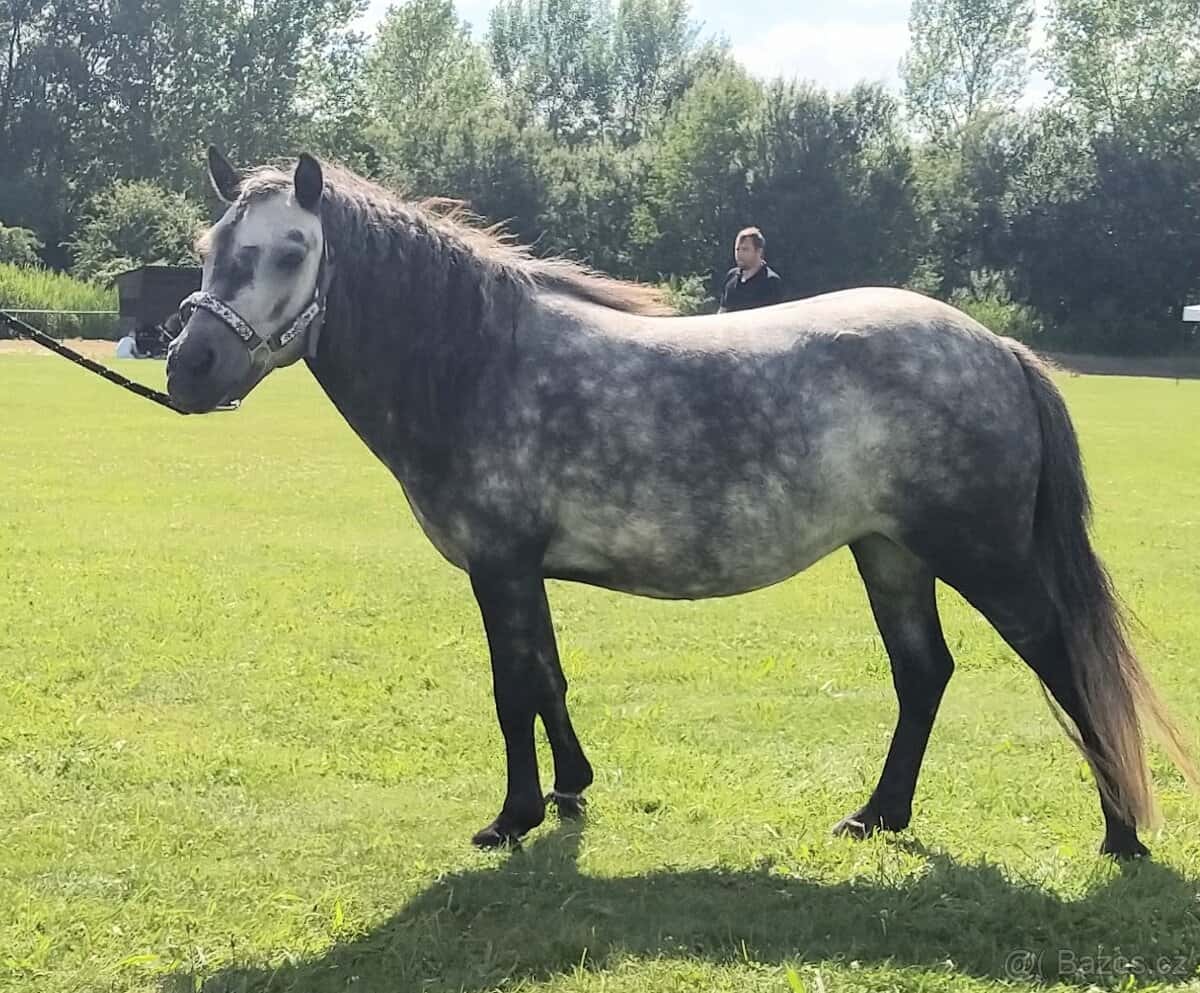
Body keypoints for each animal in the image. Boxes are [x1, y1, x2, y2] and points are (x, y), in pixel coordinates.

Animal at [165, 147, 1198, 858]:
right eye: (209, 249)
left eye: (289, 250)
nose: (187, 368)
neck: (479, 362)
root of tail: (998, 349)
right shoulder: (526, 573)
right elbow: (547, 679)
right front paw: (571, 789)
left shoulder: (500, 567)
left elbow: (511, 689)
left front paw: (511, 816)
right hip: (891, 554)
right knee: (924, 674)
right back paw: (877, 815)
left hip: (983, 559)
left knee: (1062, 664)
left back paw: (1119, 834)